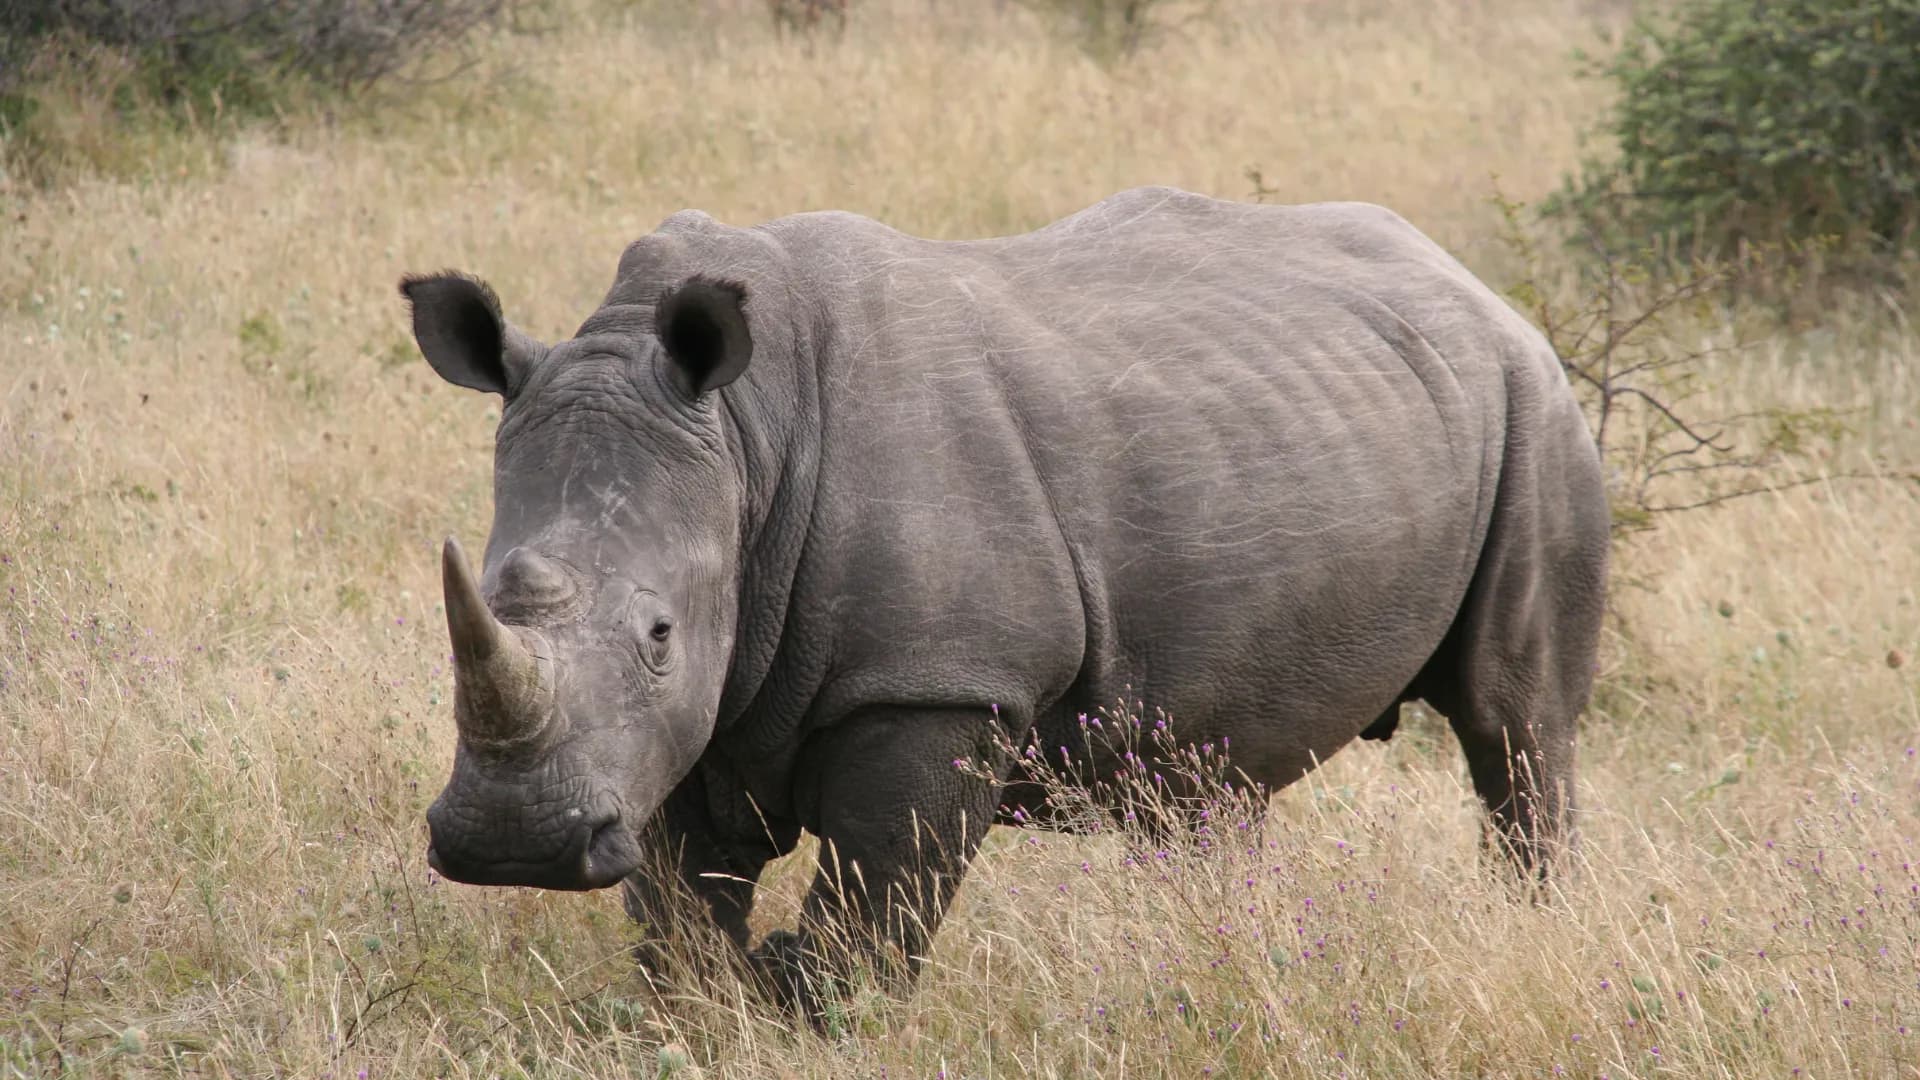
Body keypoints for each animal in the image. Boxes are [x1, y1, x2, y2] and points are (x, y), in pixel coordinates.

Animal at [402, 186, 1609, 1013]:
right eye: (489, 596)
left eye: (659, 633)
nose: (514, 845)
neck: (745, 441)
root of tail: (1475, 284)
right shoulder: (685, 722)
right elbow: (682, 929)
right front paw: (707, 1021)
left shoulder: (935, 684)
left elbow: (872, 920)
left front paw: (816, 1016)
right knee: (1208, 785)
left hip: (1538, 410)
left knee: (1516, 729)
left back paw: (1528, 936)